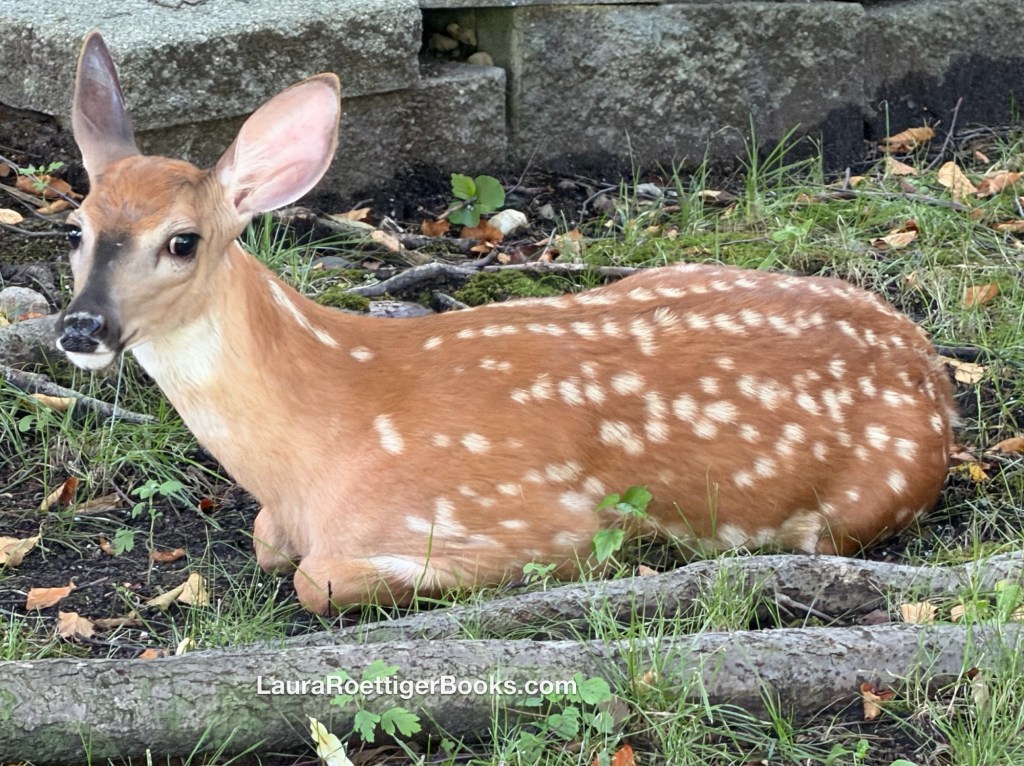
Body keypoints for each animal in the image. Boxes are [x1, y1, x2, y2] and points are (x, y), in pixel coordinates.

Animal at [57, 32, 956, 614]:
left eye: (183, 241)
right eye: (76, 227)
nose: (80, 328)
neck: (316, 450)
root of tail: (932, 373)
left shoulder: (523, 523)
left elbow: (318, 579)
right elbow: (266, 541)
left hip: (854, 508)